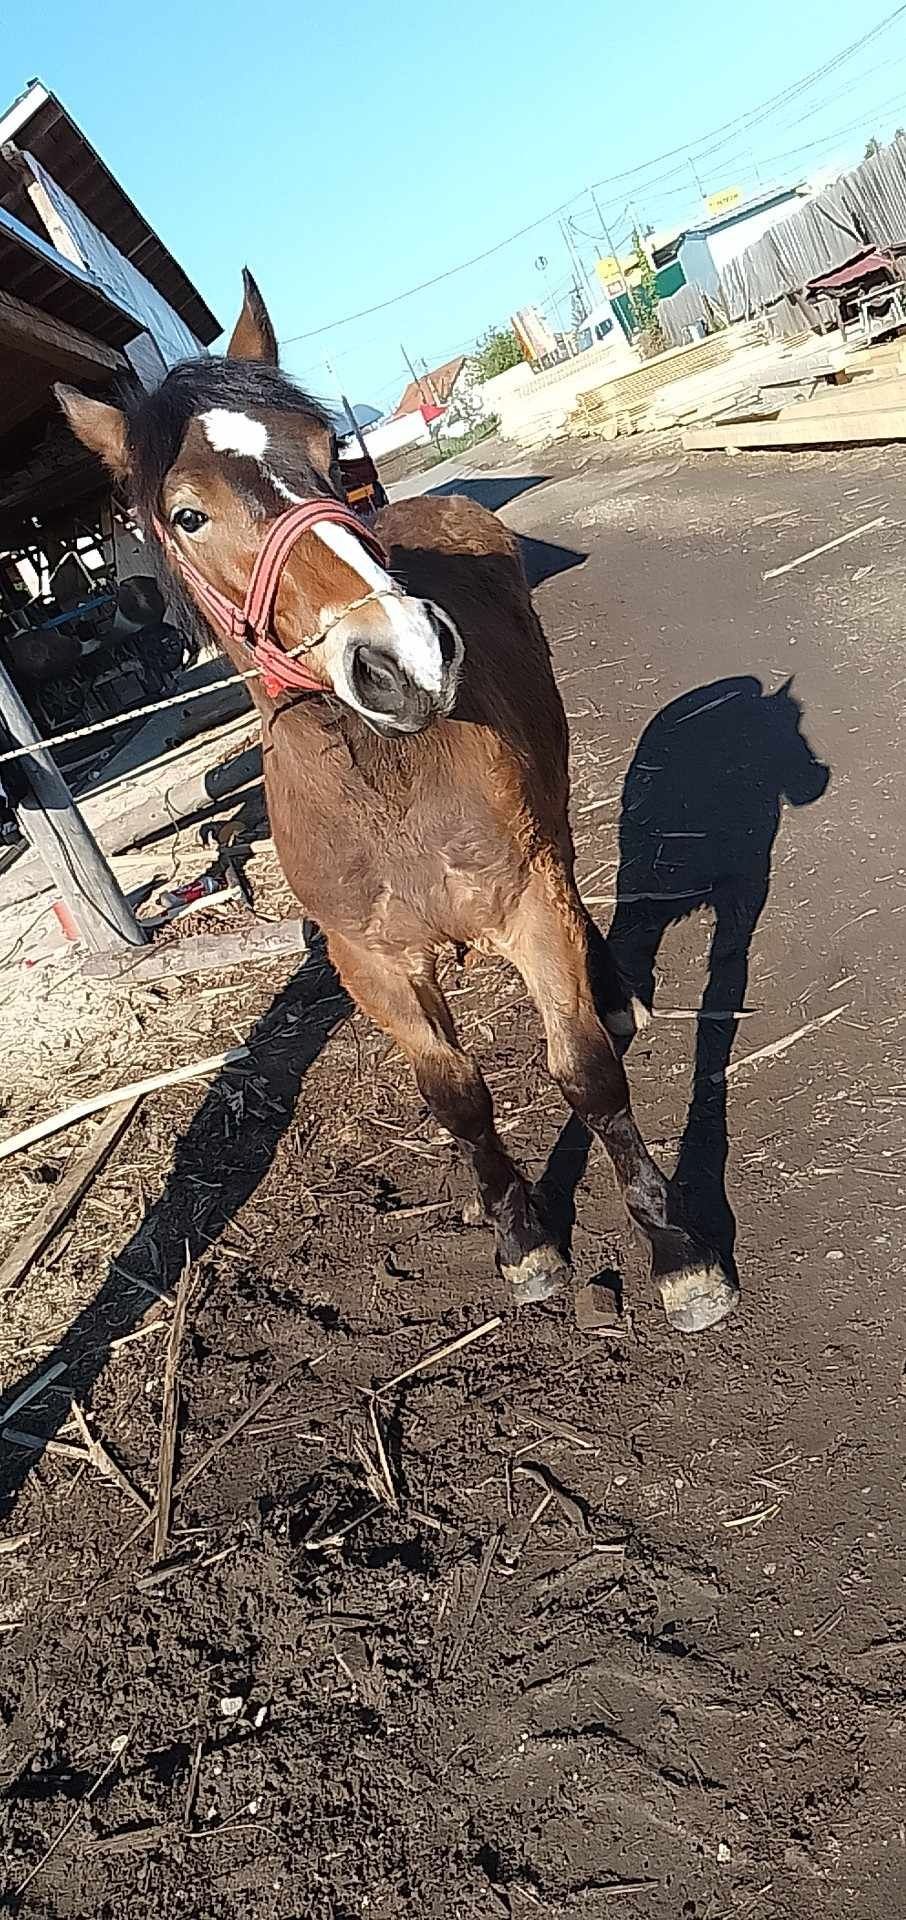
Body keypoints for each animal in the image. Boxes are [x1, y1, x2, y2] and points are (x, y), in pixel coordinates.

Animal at [60, 274, 744, 1336]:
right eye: (186, 514)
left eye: (325, 455)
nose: (407, 656)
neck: (385, 782)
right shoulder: (368, 964)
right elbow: (456, 1096)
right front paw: (524, 1243)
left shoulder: (527, 904)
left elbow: (585, 1072)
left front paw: (676, 1251)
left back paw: (611, 988)